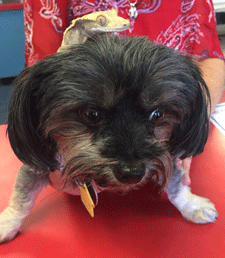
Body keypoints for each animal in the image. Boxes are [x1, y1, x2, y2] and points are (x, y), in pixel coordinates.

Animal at [0, 33, 218, 243]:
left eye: (158, 114)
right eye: (91, 114)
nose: (132, 173)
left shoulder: (168, 156)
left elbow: (176, 185)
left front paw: (192, 205)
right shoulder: (38, 165)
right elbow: (21, 199)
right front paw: (7, 223)